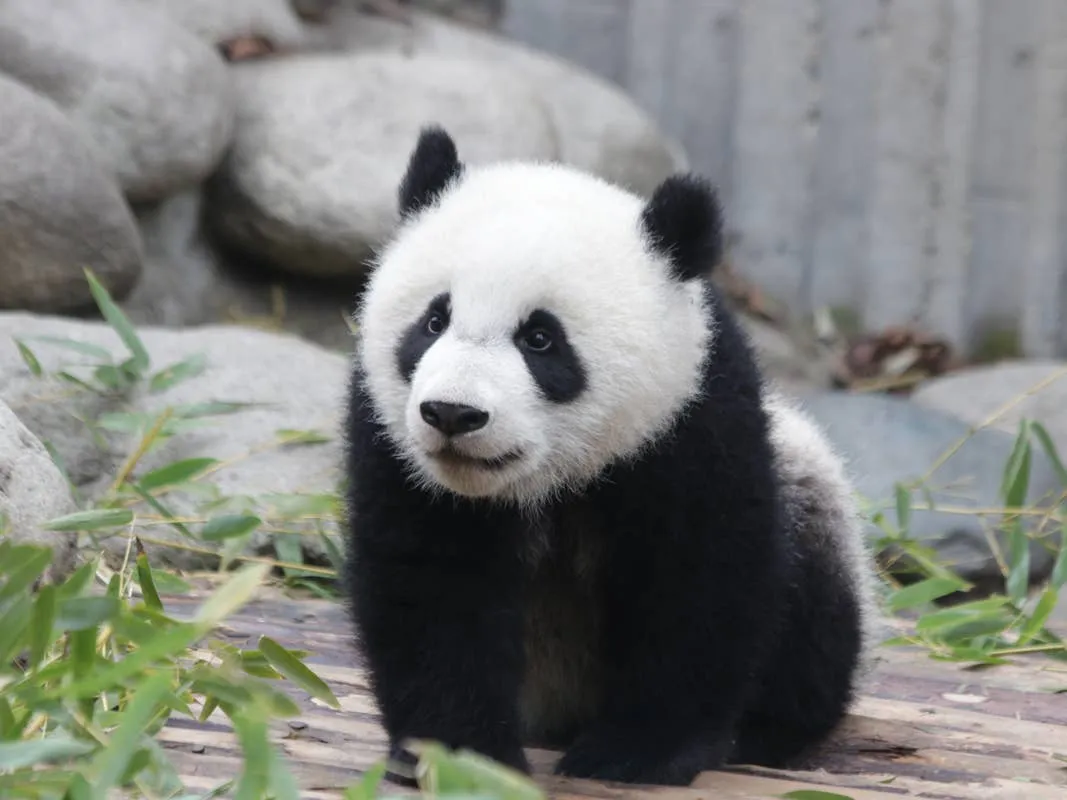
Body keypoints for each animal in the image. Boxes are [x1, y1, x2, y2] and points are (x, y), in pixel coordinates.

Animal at [342, 125, 881, 787]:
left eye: (540, 338)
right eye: (433, 320)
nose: (452, 414)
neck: (548, 481)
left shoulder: (691, 418)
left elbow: (695, 579)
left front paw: (636, 752)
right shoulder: (396, 445)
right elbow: (434, 586)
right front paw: (462, 754)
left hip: (808, 495)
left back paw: (763, 731)